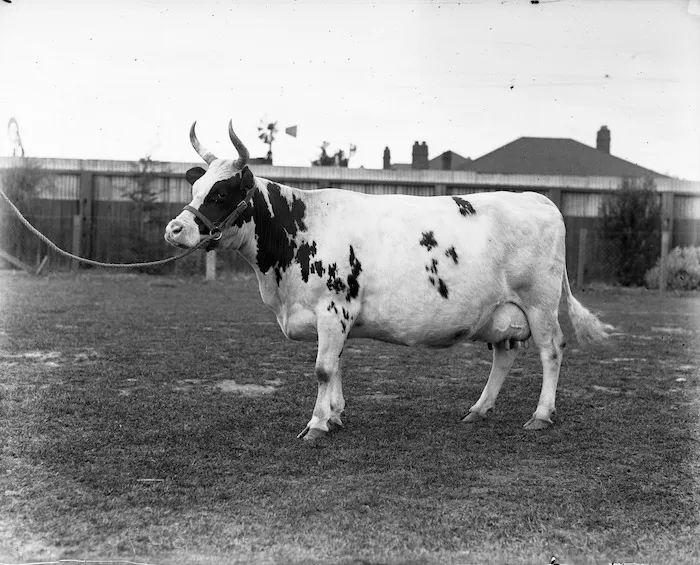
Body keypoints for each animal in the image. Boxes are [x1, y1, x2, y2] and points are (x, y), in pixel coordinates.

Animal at [165, 120, 614, 441]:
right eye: (196, 187)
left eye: (221, 194)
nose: (174, 229)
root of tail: (536, 197)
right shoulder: (335, 318)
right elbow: (336, 366)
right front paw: (335, 416)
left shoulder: (333, 308)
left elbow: (323, 369)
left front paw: (316, 425)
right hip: (501, 311)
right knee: (504, 355)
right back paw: (478, 410)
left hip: (539, 303)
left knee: (551, 350)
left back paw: (541, 415)